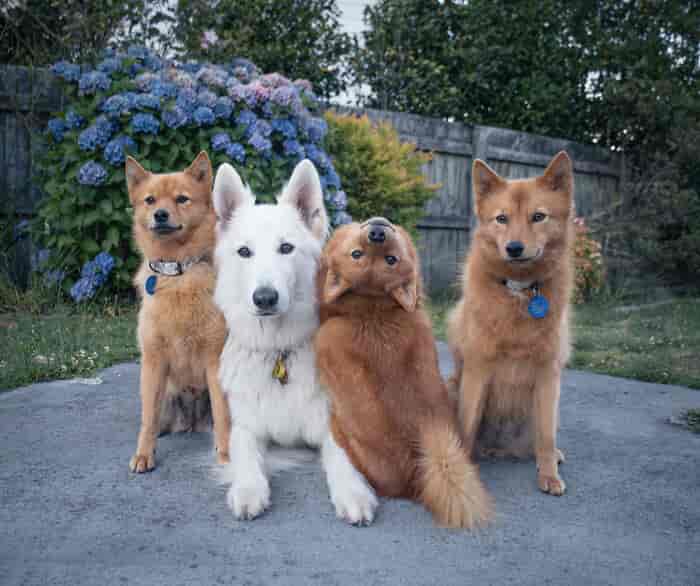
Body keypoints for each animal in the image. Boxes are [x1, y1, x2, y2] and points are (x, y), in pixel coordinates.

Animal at [212, 157, 378, 524]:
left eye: (286, 248)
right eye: (244, 252)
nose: (265, 298)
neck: (279, 351)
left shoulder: (333, 427)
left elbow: (344, 458)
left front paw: (354, 493)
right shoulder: (245, 429)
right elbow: (245, 456)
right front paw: (248, 490)